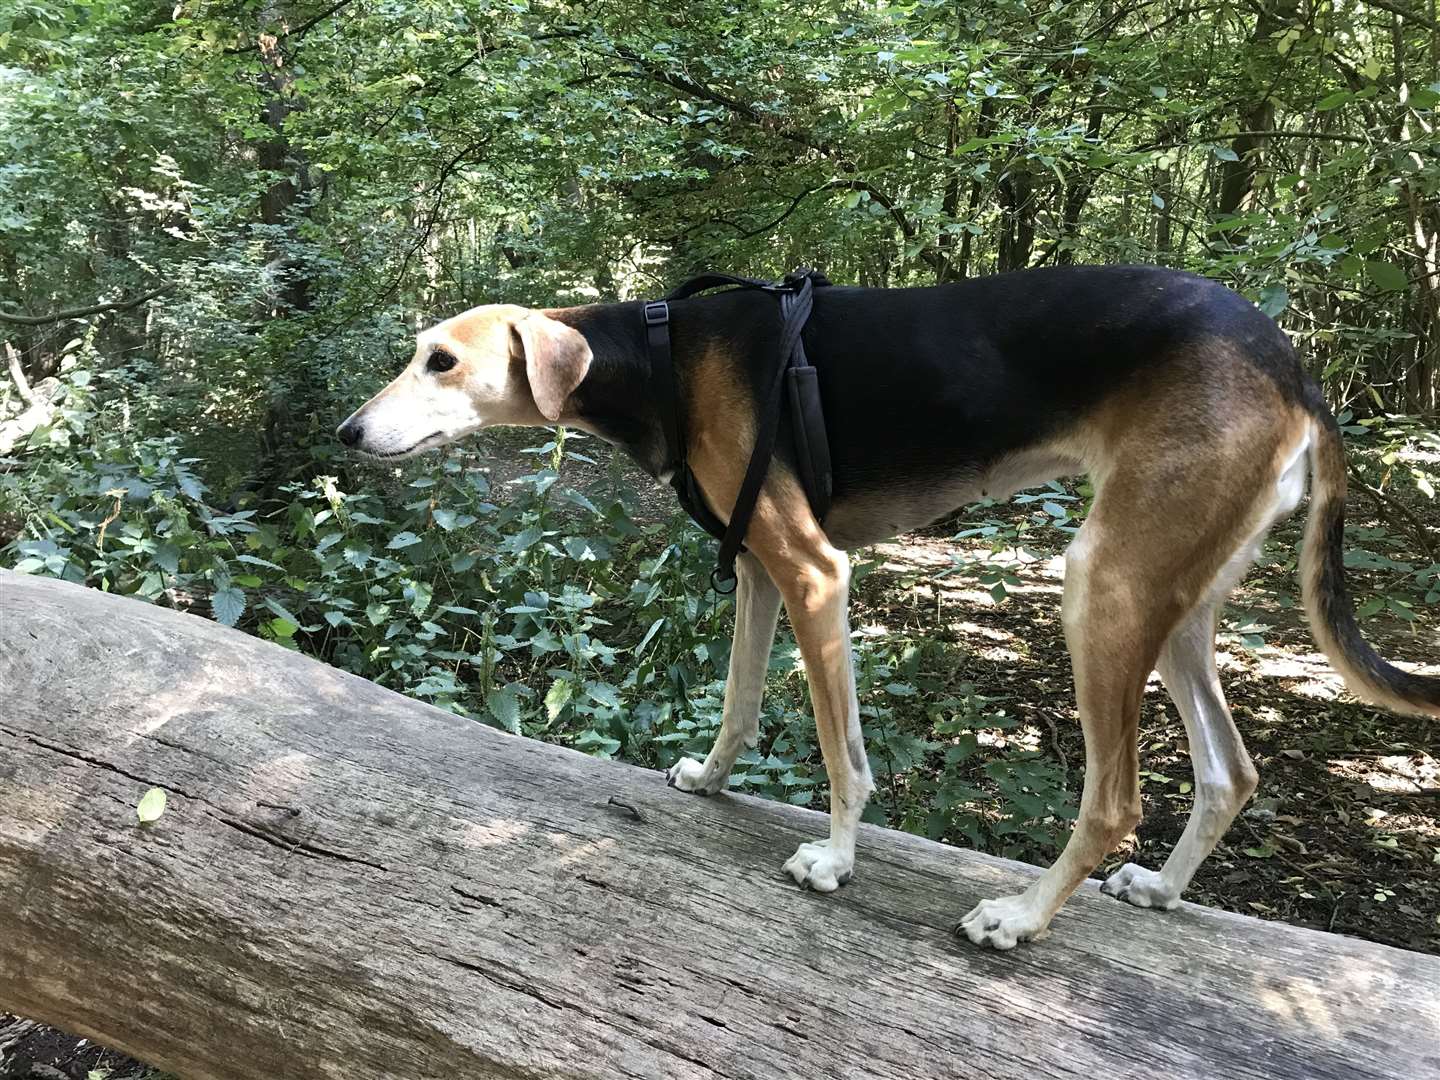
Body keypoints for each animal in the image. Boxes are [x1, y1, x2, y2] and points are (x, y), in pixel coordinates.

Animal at [339, 266, 1440, 950]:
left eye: (441, 360)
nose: (348, 433)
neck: (662, 357)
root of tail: (1293, 368)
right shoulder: (756, 570)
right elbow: (740, 702)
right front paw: (712, 779)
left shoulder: (815, 572)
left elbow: (843, 756)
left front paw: (835, 859)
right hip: (1174, 600)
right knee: (1230, 770)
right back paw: (1164, 889)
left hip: (1106, 586)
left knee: (1116, 801)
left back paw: (1021, 919)